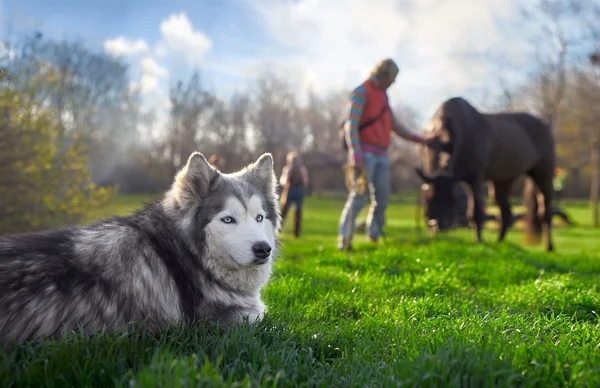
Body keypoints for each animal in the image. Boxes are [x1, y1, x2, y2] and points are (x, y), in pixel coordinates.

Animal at [414, 97, 556, 252]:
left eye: (452, 201)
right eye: (428, 201)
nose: (439, 226)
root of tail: (545, 125)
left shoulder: (476, 177)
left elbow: (475, 212)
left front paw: (478, 241)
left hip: (543, 174)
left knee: (545, 212)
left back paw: (549, 247)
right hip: (503, 181)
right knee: (506, 212)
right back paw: (499, 243)